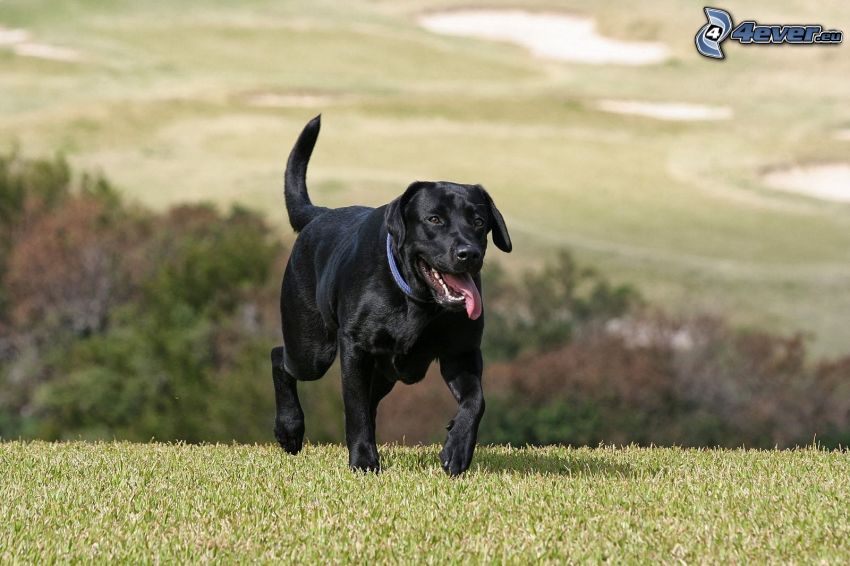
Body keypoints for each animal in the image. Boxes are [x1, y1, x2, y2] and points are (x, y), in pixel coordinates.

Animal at [272, 117, 510, 478]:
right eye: (434, 219)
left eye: (479, 221)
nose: (468, 253)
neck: (417, 302)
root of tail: (319, 215)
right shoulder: (355, 349)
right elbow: (354, 408)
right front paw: (363, 461)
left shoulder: (461, 352)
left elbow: (475, 401)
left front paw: (457, 449)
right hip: (311, 350)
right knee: (280, 359)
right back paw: (289, 429)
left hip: (382, 375)